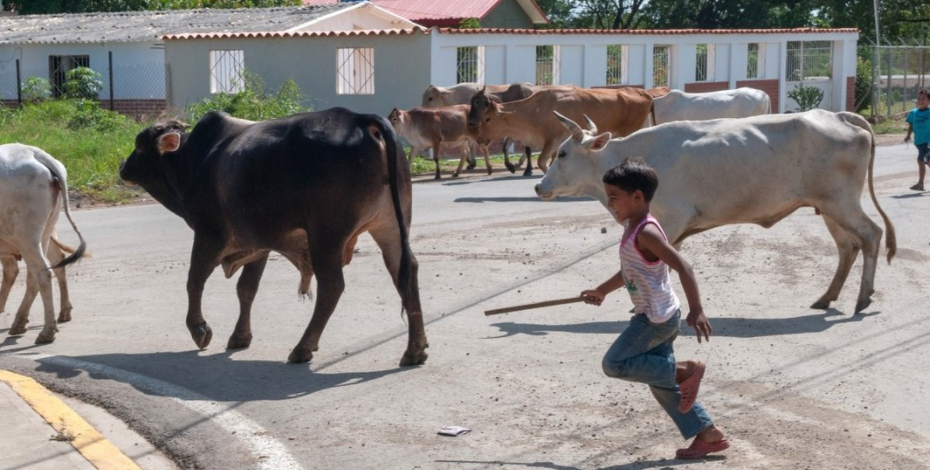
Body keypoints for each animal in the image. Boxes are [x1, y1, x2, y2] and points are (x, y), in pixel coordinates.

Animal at [0, 143, 86, 342]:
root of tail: (32, 152)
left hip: (26, 235)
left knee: (42, 274)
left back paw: (47, 332)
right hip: (44, 233)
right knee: (40, 272)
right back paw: (22, 323)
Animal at [117, 108, 432, 366]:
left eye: (139, 144)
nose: (122, 167)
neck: (195, 159)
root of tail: (361, 119)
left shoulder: (209, 234)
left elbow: (194, 280)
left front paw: (199, 330)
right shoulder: (259, 245)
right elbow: (246, 289)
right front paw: (240, 336)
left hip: (326, 236)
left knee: (332, 286)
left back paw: (303, 347)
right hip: (390, 227)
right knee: (406, 271)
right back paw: (415, 349)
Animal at [464, 86, 652, 173]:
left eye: (487, 118)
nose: (479, 139)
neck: (535, 110)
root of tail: (644, 93)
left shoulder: (553, 140)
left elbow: (542, 162)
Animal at [536, 110, 892, 314]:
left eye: (563, 153)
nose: (539, 186)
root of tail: (841, 116)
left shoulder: (671, 219)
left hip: (841, 203)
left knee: (871, 235)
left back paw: (862, 297)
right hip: (830, 208)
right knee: (848, 248)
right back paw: (827, 297)